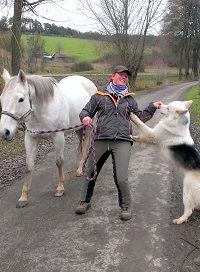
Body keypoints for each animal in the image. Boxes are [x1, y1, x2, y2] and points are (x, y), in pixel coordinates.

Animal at [0, 68, 97, 208]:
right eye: (1, 99)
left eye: (21, 99)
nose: (4, 132)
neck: (42, 110)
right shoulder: (30, 139)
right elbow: (28, 166)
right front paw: (23, 197)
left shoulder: (58, 136)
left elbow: (59, 162)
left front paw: (60, 188)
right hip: (79, 128)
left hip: (88, 126)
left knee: (85, 147)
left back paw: (80, 170)